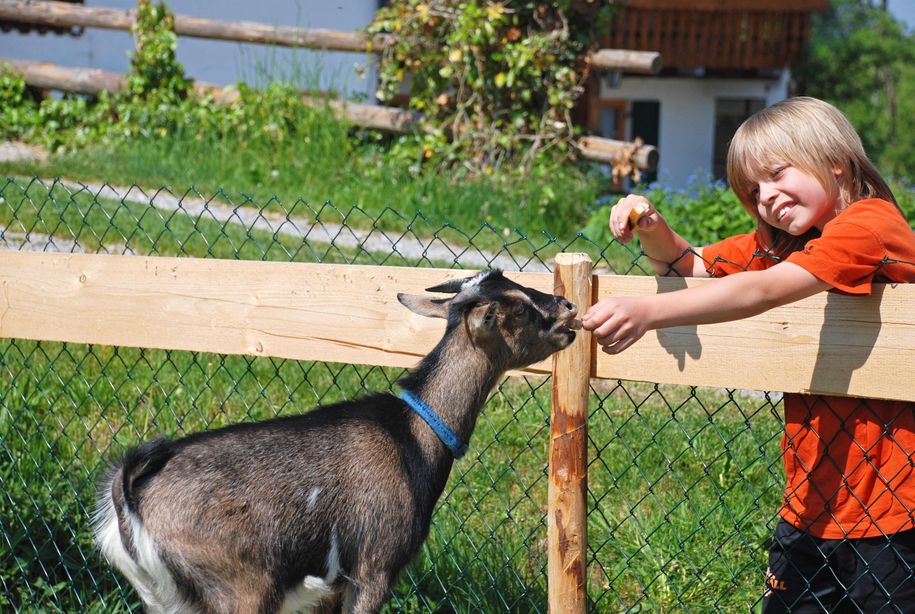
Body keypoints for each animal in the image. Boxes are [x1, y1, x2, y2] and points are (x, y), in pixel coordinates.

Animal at [95, 270, 580, 614]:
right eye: (518, 310)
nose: (568, 308)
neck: (413, 435)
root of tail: (129, 494)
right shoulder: (374, 568)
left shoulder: (330, 585)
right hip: (240, 588)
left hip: (165, 600)